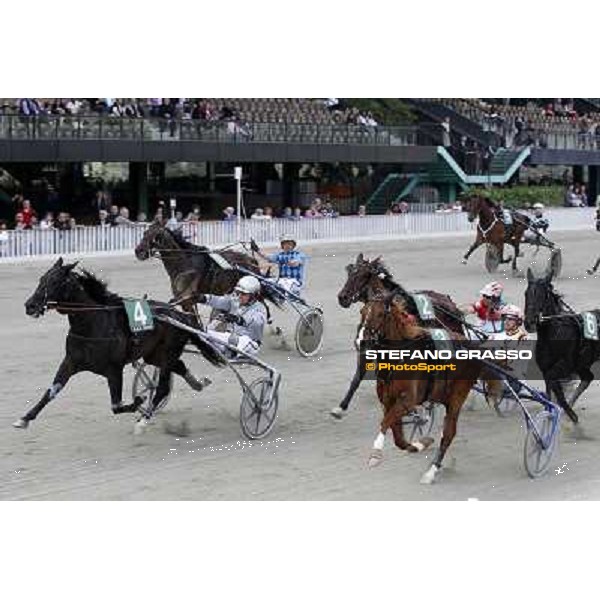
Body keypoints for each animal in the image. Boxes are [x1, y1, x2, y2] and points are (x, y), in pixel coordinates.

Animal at [13, 258, 225, 432]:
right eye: (42, 279)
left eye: (55, 282)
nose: (30, 305)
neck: (93, 324)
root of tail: (180, 315)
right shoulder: (70, 362)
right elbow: (50, 392)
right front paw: (24, 418)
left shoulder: (114, 369)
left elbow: (117, 406)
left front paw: (139, 400)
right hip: (154, 355)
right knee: (178, 366)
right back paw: (197, 383)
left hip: (168, 352)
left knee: (163, 387)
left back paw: (144, 419)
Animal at [332, 253, 464, 418]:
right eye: (349, 273)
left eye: (362, 275)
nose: (342, 297)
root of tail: (451, 304)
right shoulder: (367, 349)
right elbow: (358, 377)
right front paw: (341, 407)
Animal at [358, 292, 480, 486]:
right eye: (362, 311)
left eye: (380, 314)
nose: (362, 341)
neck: (400, 358)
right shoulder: (387, 399)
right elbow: (397, 435)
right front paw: (418, 444)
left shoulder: (408, 400)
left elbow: (385, 422)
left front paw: (375, 454)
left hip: (457, 396)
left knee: (448, 434)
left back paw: (431, 472)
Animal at [524, 268, 600, 426]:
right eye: (526, 293)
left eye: (542, 295)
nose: (529, 323)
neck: (554, 332)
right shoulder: (546, 367)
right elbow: (550, 390)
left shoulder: (565, 366)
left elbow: (555, 384)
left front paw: (571, 415)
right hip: (582, 364)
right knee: (588, 377)